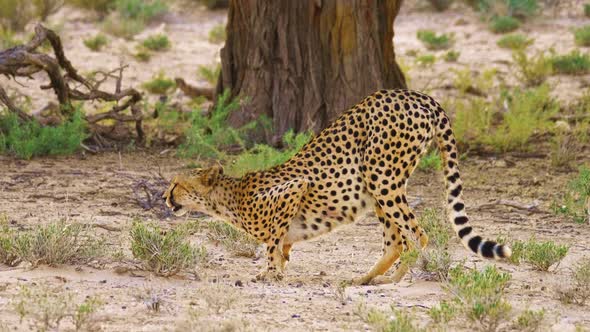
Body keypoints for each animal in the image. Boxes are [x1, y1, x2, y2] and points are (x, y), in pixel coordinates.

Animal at [163, 89, 512, 286]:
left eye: (176, 184)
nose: (165, 198)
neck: (227, 199)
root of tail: (418, 95)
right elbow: (281, 243)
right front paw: (280, 265)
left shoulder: (294, 188)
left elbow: (272, 241)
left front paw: (270, 273)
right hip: (378, 186)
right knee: (395, 242)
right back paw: (368, 278)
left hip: (381, 177)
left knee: (418, 235)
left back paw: (398, 280)